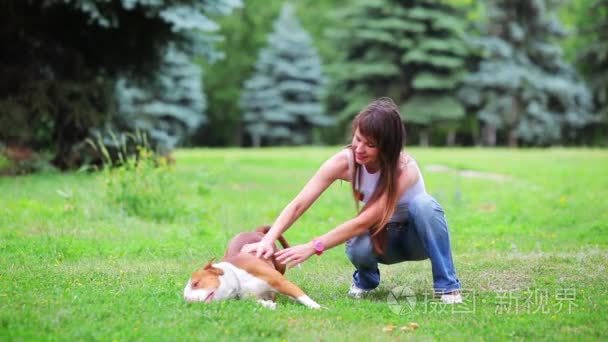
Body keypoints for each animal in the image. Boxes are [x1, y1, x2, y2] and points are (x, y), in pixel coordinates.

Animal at [183, 224, 320, 310]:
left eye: (195, 284)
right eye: (185, 298)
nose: (190, 302)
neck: (238, 280)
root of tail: (255, 231)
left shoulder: (281, 283)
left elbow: (302, 296)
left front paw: (318, 308)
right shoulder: (252, 298)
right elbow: (260, 302)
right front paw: (269, 305)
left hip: (280, 264)